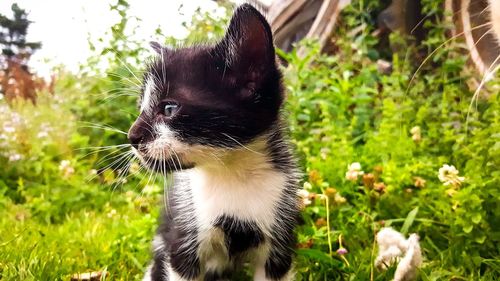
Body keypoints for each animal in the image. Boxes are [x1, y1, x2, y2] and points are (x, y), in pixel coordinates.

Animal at [129, 4, 300, 280]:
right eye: (141, 109)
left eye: (168, 108)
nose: (131, 137)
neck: (232, 174)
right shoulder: (182, 240)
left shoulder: (278, 242)